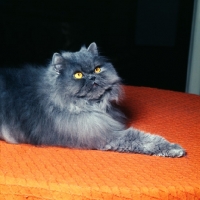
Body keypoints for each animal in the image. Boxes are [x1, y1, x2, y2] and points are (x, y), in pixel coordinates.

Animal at [0, 43, 186, 158]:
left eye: (97, 69)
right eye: (78, 74)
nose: (92, 77)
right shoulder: (105, 134)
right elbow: (145, 139)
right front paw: (174, 148)